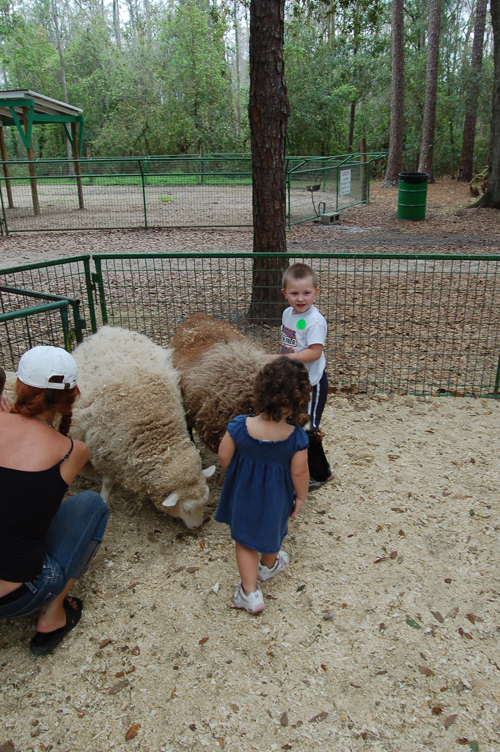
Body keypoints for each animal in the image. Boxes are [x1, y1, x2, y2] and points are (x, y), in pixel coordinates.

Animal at [70, 328, 213, 528]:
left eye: (205, 501)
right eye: (185, 509)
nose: (197, 526)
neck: (153, 431)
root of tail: (108, 329)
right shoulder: (107, 452)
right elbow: (107, 482)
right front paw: (103, 498)